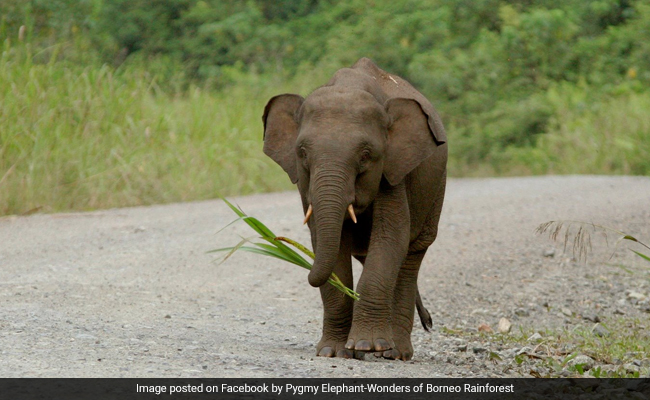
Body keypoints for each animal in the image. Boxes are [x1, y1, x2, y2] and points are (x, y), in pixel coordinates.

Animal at [262, 57, 447, 361]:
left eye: (366, 155)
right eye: (302, 153)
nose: (430, 322)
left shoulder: (393, 172)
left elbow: (391, 238)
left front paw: (366, 346)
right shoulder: (304, 183)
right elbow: (328, 243)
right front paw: (332, 351)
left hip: (435, 191)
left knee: (412, 256)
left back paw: (395, 352)